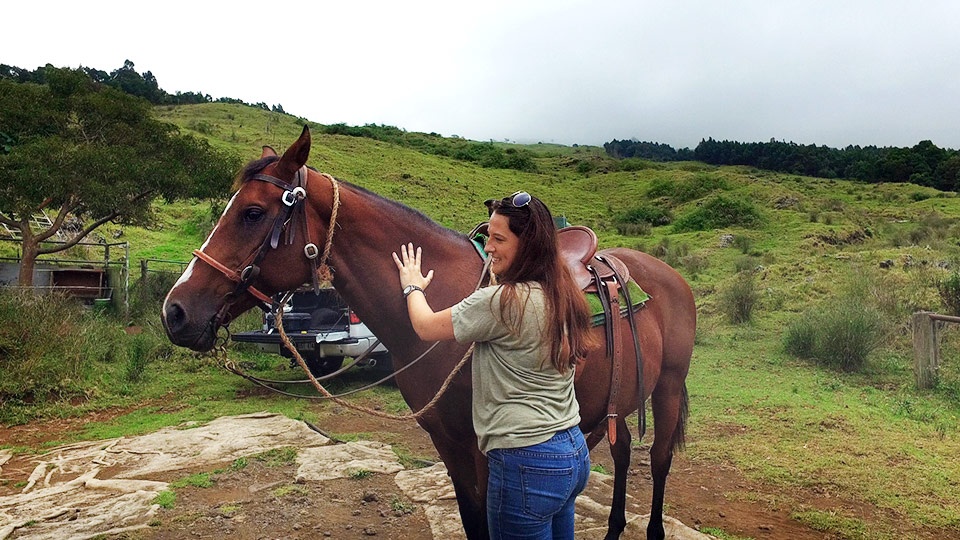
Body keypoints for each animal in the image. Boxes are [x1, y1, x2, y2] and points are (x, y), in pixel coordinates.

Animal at [161, 127, 692, 540]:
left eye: (252, 212)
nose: (175, 311)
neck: (443, 307)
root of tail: (668, 275)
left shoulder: (485, 453)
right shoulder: (448, 445)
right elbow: (472, 521)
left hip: (667, 387)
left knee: (659, 460)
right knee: (622, 452)